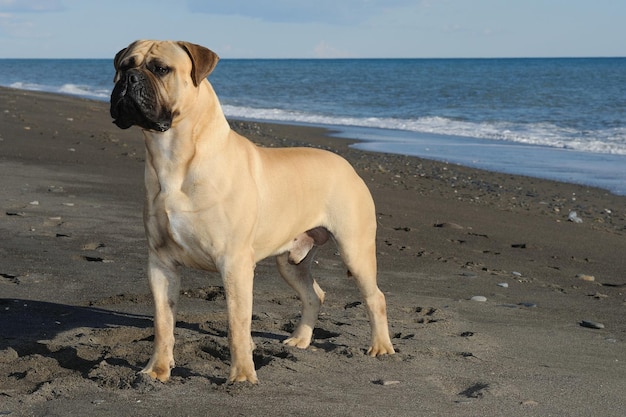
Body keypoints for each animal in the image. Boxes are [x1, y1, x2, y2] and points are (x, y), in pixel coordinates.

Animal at [107, 40, 390, 382]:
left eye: (161, 69)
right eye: (124, 65)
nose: (129, 79)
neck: (172, 156)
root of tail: (347, 164)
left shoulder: (234, 263)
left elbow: (237, 325)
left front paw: (242, 376)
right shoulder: (161, 263)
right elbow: (163, 322)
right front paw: (157, 370)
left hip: (354, 248)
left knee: (375, 297)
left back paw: (381, 347)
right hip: (291, 262)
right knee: (314, 294)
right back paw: (301, 339)